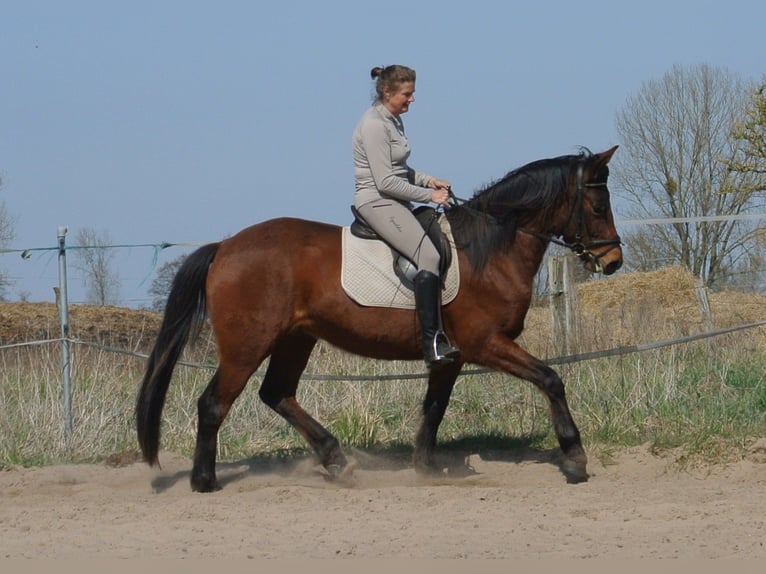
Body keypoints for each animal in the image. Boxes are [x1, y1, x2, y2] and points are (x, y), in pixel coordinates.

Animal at [136, 145, 623, 492]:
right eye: (598, 207)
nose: (614, 261)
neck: (488, 251)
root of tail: (224, 247)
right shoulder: (487, 343)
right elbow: (550, 379)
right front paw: (575, 457)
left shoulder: (451, 355)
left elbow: (434, 407)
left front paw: (425, 468)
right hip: (247, 345)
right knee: (214, 403)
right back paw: (205, 481)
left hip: (296, 339)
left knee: (277, 394)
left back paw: (336, 460)